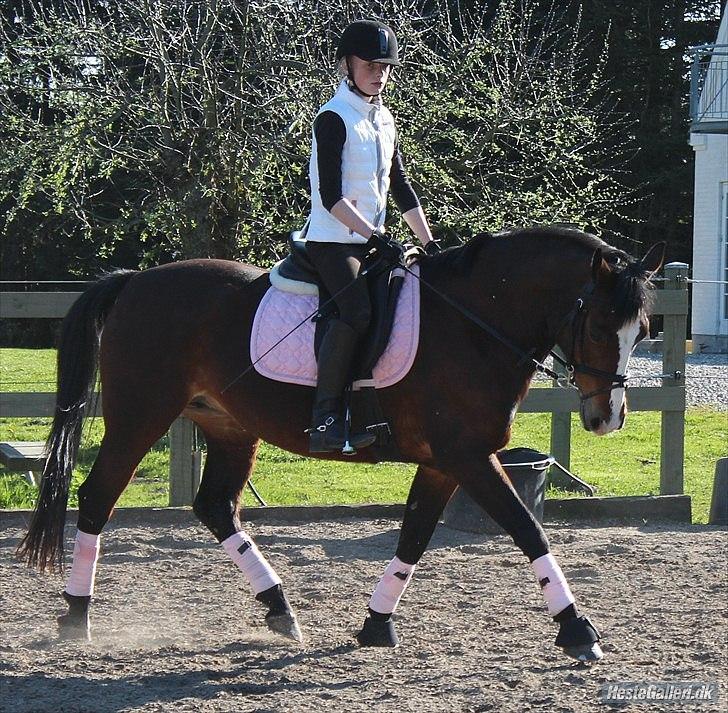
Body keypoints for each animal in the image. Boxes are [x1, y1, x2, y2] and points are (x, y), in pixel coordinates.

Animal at [17, 226, 664, 663]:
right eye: (600, 325)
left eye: (642, 331)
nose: (607, 418)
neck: (474, 323)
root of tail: (134, 281)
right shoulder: (468, 457)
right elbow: (527, 529)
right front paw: (578, 631)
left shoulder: (444, 463)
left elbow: (414, 536)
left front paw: (376, 625)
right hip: (139, 416)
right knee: (97, 497)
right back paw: (76, 617)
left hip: (229, 426)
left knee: (215, 507)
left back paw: (280, 609)